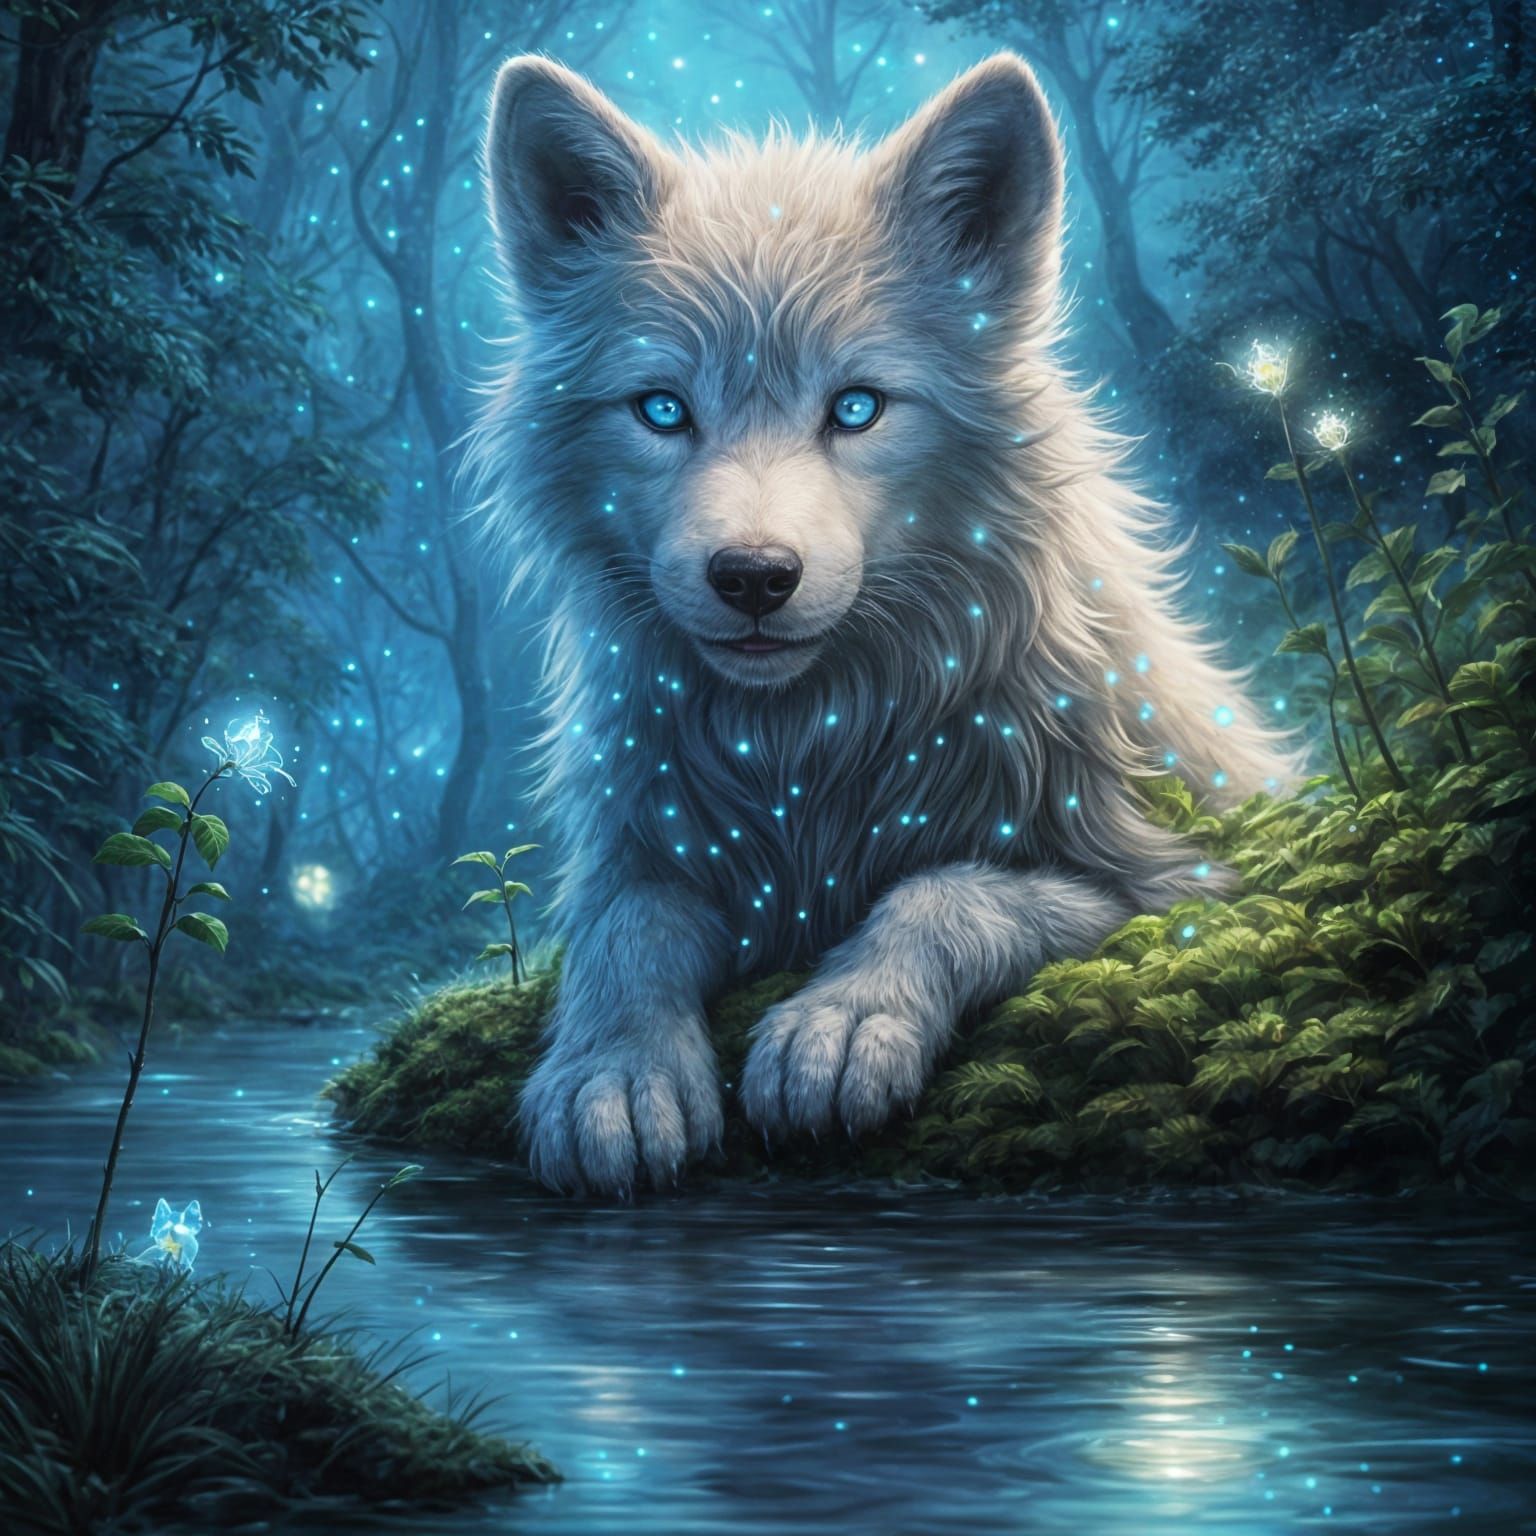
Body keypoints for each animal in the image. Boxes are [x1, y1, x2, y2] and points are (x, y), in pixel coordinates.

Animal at [472, 52, 1296, 1195]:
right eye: (664, 410)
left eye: (857, 408)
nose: (755, 577)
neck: (812, 754)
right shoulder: (648, 852)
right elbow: (625, 933)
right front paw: (615, 1070)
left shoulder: (1181, 885)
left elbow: (947, 891)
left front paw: (847, 1018)